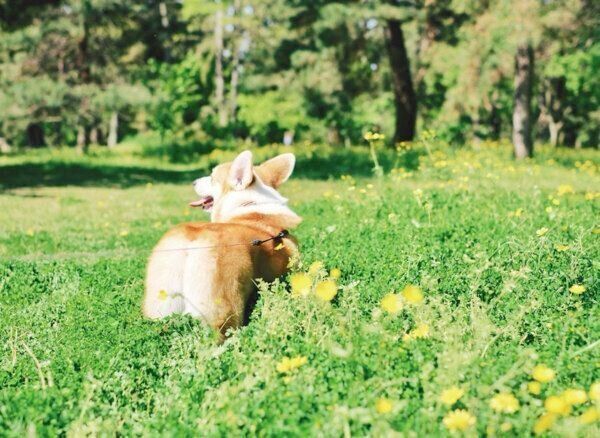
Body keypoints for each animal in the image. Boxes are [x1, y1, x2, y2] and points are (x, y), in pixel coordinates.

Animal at [144, 151, 302, 338]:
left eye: (212, 178)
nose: (193, 182)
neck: (250, 205)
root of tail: (191, 237)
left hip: (161, 303)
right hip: (226, 307)